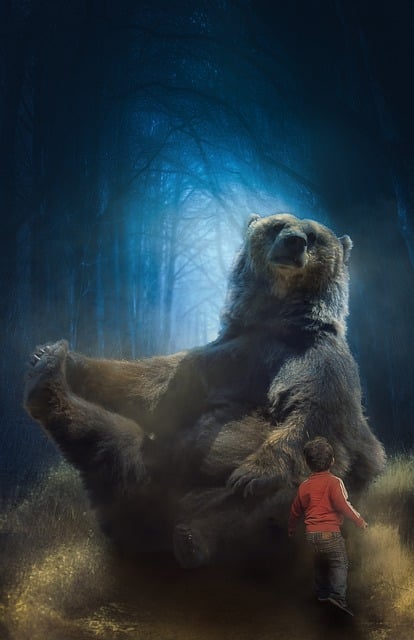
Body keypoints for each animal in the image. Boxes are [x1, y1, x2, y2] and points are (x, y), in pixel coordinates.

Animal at [24, 213, 386, 567]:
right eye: (278, 225)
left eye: (312, 235)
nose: (293, 241)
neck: (278, 322)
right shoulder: (229, 357)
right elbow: (156, 386)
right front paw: (57, 355)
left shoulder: (318, 362)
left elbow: (315, 415)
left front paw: (254, 472)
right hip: (151, 468)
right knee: (114, 443)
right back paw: (46, 382)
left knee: (267, 505)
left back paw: (194, 539)